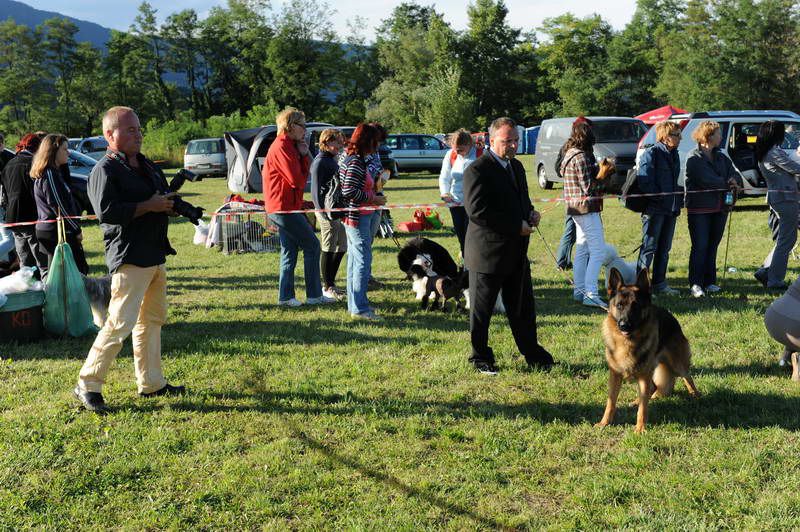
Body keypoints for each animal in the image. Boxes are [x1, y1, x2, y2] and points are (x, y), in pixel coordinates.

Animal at [592, 268, 700, 434]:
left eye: (635, 306)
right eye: (619, 305)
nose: (623, 325)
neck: (627, 342)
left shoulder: (644, 375)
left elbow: (643, 408)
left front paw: (640, 429)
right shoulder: (615, 375)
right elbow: (611, 402)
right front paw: (604, 423)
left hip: (676, 364)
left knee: (687, 377)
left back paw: (695, 395)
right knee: (652, 388)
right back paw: (643, 399)